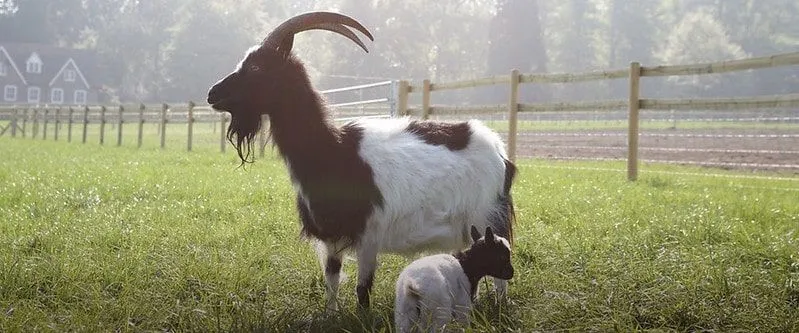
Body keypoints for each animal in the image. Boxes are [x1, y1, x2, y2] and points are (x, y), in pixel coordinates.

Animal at [206, 11, 520, 312]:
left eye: (257, 67)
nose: (212, 93)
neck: (333, 150)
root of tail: (500, 151)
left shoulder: (369, 234)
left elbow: (362, 289)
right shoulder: (331, 236)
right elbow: (331, 278)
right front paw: (330, 316)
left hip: (487, 215)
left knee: (498, 263)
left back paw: (499, 305)